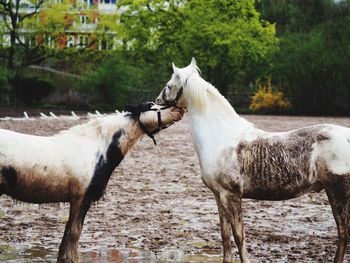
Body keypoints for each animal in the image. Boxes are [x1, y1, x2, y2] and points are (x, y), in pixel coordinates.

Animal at [157, 57, 350, 263]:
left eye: (169, 85)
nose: (157, 101)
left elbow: (239, 236)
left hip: (337, 192)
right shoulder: (218, 196)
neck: (220, 137)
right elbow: (225, 235)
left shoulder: (231, 196)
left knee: (343, 234)